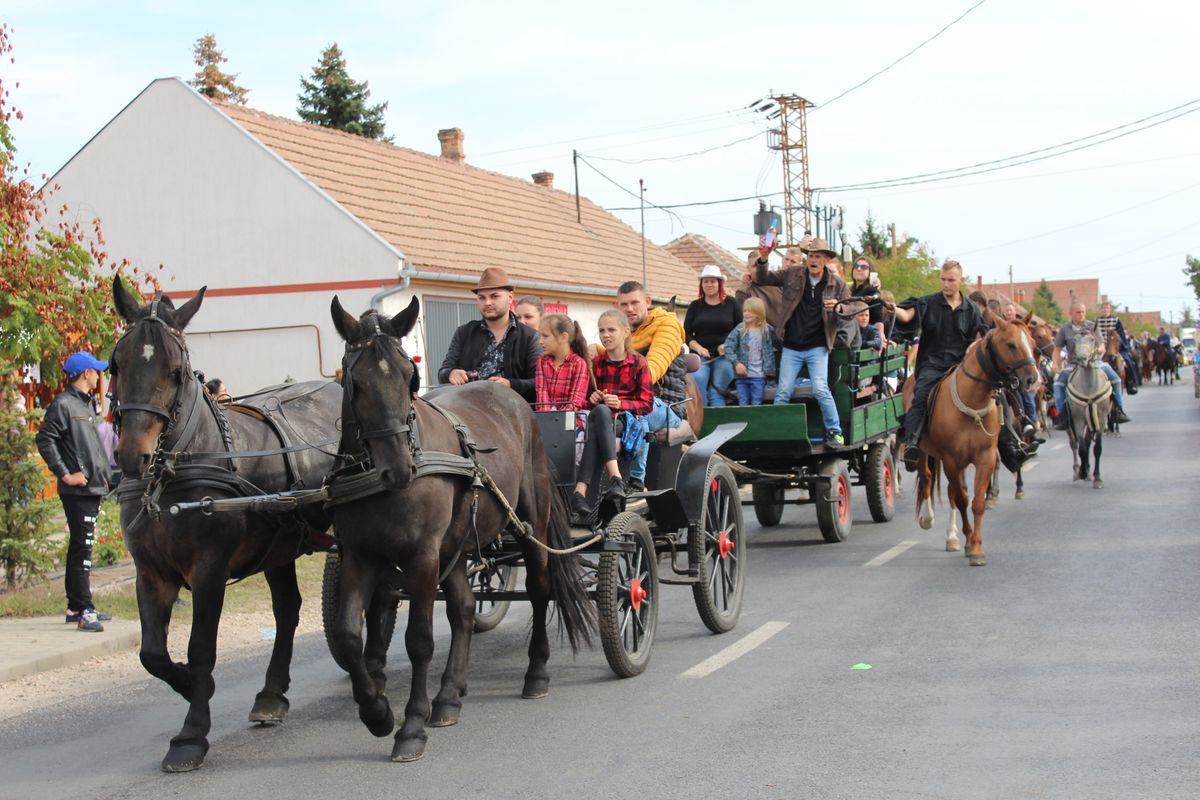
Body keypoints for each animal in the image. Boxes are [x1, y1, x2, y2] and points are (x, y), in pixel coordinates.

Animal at [902, 316, 1041, 566]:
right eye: (1011, 344)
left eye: (1033, 343)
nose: (1032, 379)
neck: (973, 401)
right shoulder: (951, 460)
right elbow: (961, 499)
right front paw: (969, 542)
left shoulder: (984, 458)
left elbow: (976, 502)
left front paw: (975, 547)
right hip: (928, 453)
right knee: (928, 479)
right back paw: (929, 519)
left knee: (949, 491)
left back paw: (953, 537)